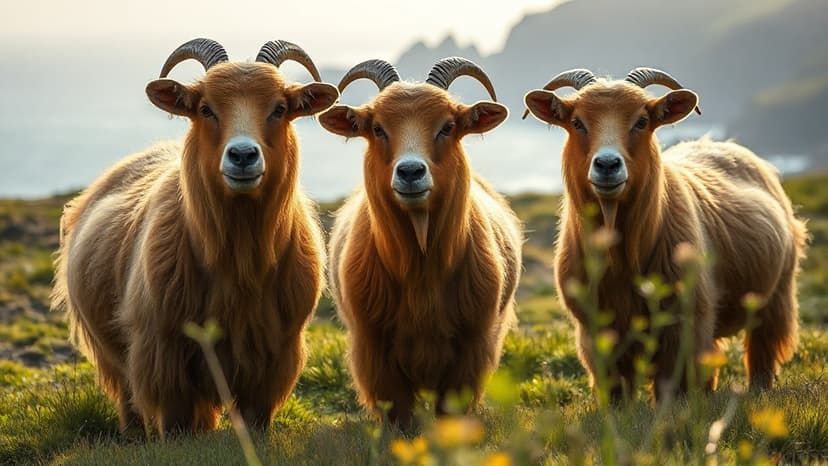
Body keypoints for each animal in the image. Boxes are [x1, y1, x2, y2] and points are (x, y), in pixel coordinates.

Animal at [51, 38, 339, 434]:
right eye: (206, 109)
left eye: (279, 109)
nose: (243, 155)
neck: (238, 262)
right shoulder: (164, 356)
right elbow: (176, 425)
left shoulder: (274, 359)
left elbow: (256, 421)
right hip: (114, 354)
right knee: (129, 399)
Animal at [319, 58, 523, 425]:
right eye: (377, 129)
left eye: (448, 126)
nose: (411, 172)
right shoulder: (374, 352)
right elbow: (398, 415)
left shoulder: (471, 349)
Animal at [524, 67, 807, 400]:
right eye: (577, 123)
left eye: (642, 121)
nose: (607, 164)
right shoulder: (595, 332)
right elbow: (615, 390)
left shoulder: (682, 326)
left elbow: (673, 389)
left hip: (776, 297)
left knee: (762, 353)